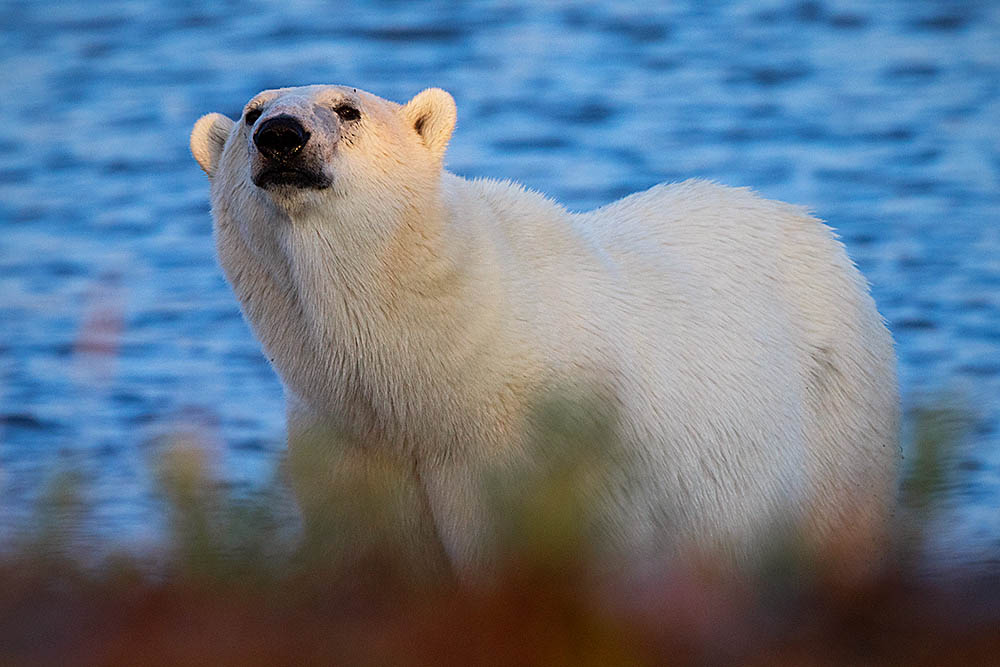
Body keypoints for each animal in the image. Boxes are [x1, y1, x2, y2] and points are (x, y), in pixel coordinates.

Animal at [191, 86, 904, 576]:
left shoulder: (542, 448)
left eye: (347, 109)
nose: (281, 136)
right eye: (251, 113)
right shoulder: (351, 446)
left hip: (839, 427)